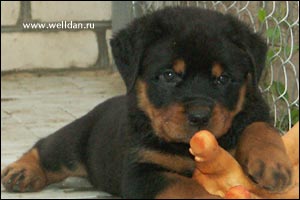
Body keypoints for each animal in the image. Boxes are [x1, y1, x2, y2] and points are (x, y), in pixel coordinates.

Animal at [1, 6, 292, 198]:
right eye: (169, 75)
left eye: (223, 79)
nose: (199, 116)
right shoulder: (141, 172)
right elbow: (185, 187)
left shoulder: (253, 111)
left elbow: (260, 128)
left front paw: (273, 164)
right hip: (77, 140)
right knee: (48, 147)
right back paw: (21, 172)